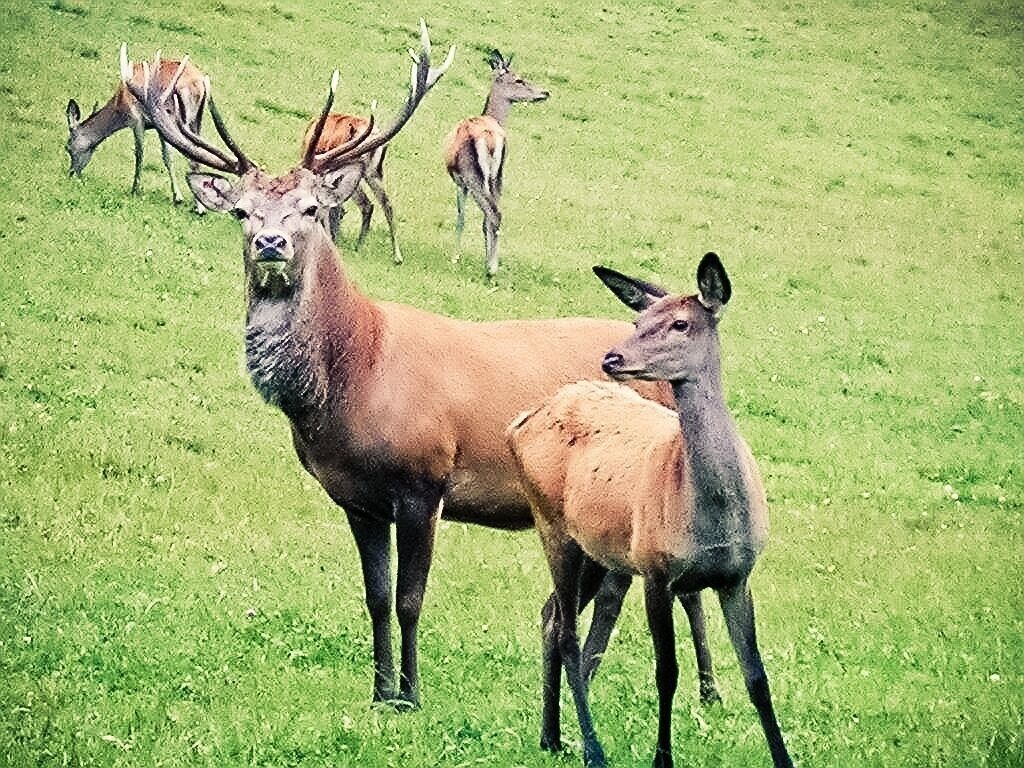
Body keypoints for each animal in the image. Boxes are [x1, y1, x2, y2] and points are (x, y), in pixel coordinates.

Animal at [66, 53, 207, 211]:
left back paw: (199, 206)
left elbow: (140, 154)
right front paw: (176, 196)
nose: (71, 173)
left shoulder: (137, 120)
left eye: (68, 147)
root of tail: (200, 83)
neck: (119, 106)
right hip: (196, 120)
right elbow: (166, 156)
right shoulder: (159, 127)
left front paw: (135, 189)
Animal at [444, 50, 548, 277]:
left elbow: (461, 217)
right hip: (498, 176)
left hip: (474, 176)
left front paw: (455, 257)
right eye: (519, 79)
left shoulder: (460, 182)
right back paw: (492, 264)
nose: (545, 92)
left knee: (493, 212)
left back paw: (491, 268)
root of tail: (491, 137)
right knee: (493, 214)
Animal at [508, 254, 794, 768]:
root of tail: (521, 420)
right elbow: (667, 672)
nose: (612, 358)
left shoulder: (738, 576)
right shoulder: (656, 571)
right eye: (638, 322)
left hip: (598, 551)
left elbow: (758, 678)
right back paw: (591, 747)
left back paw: (552, 735)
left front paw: (784, 757)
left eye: (681, 323)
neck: (715, 516)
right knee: (567, 633)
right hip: (553, 526)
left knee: (550, 615)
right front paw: (663, 757)